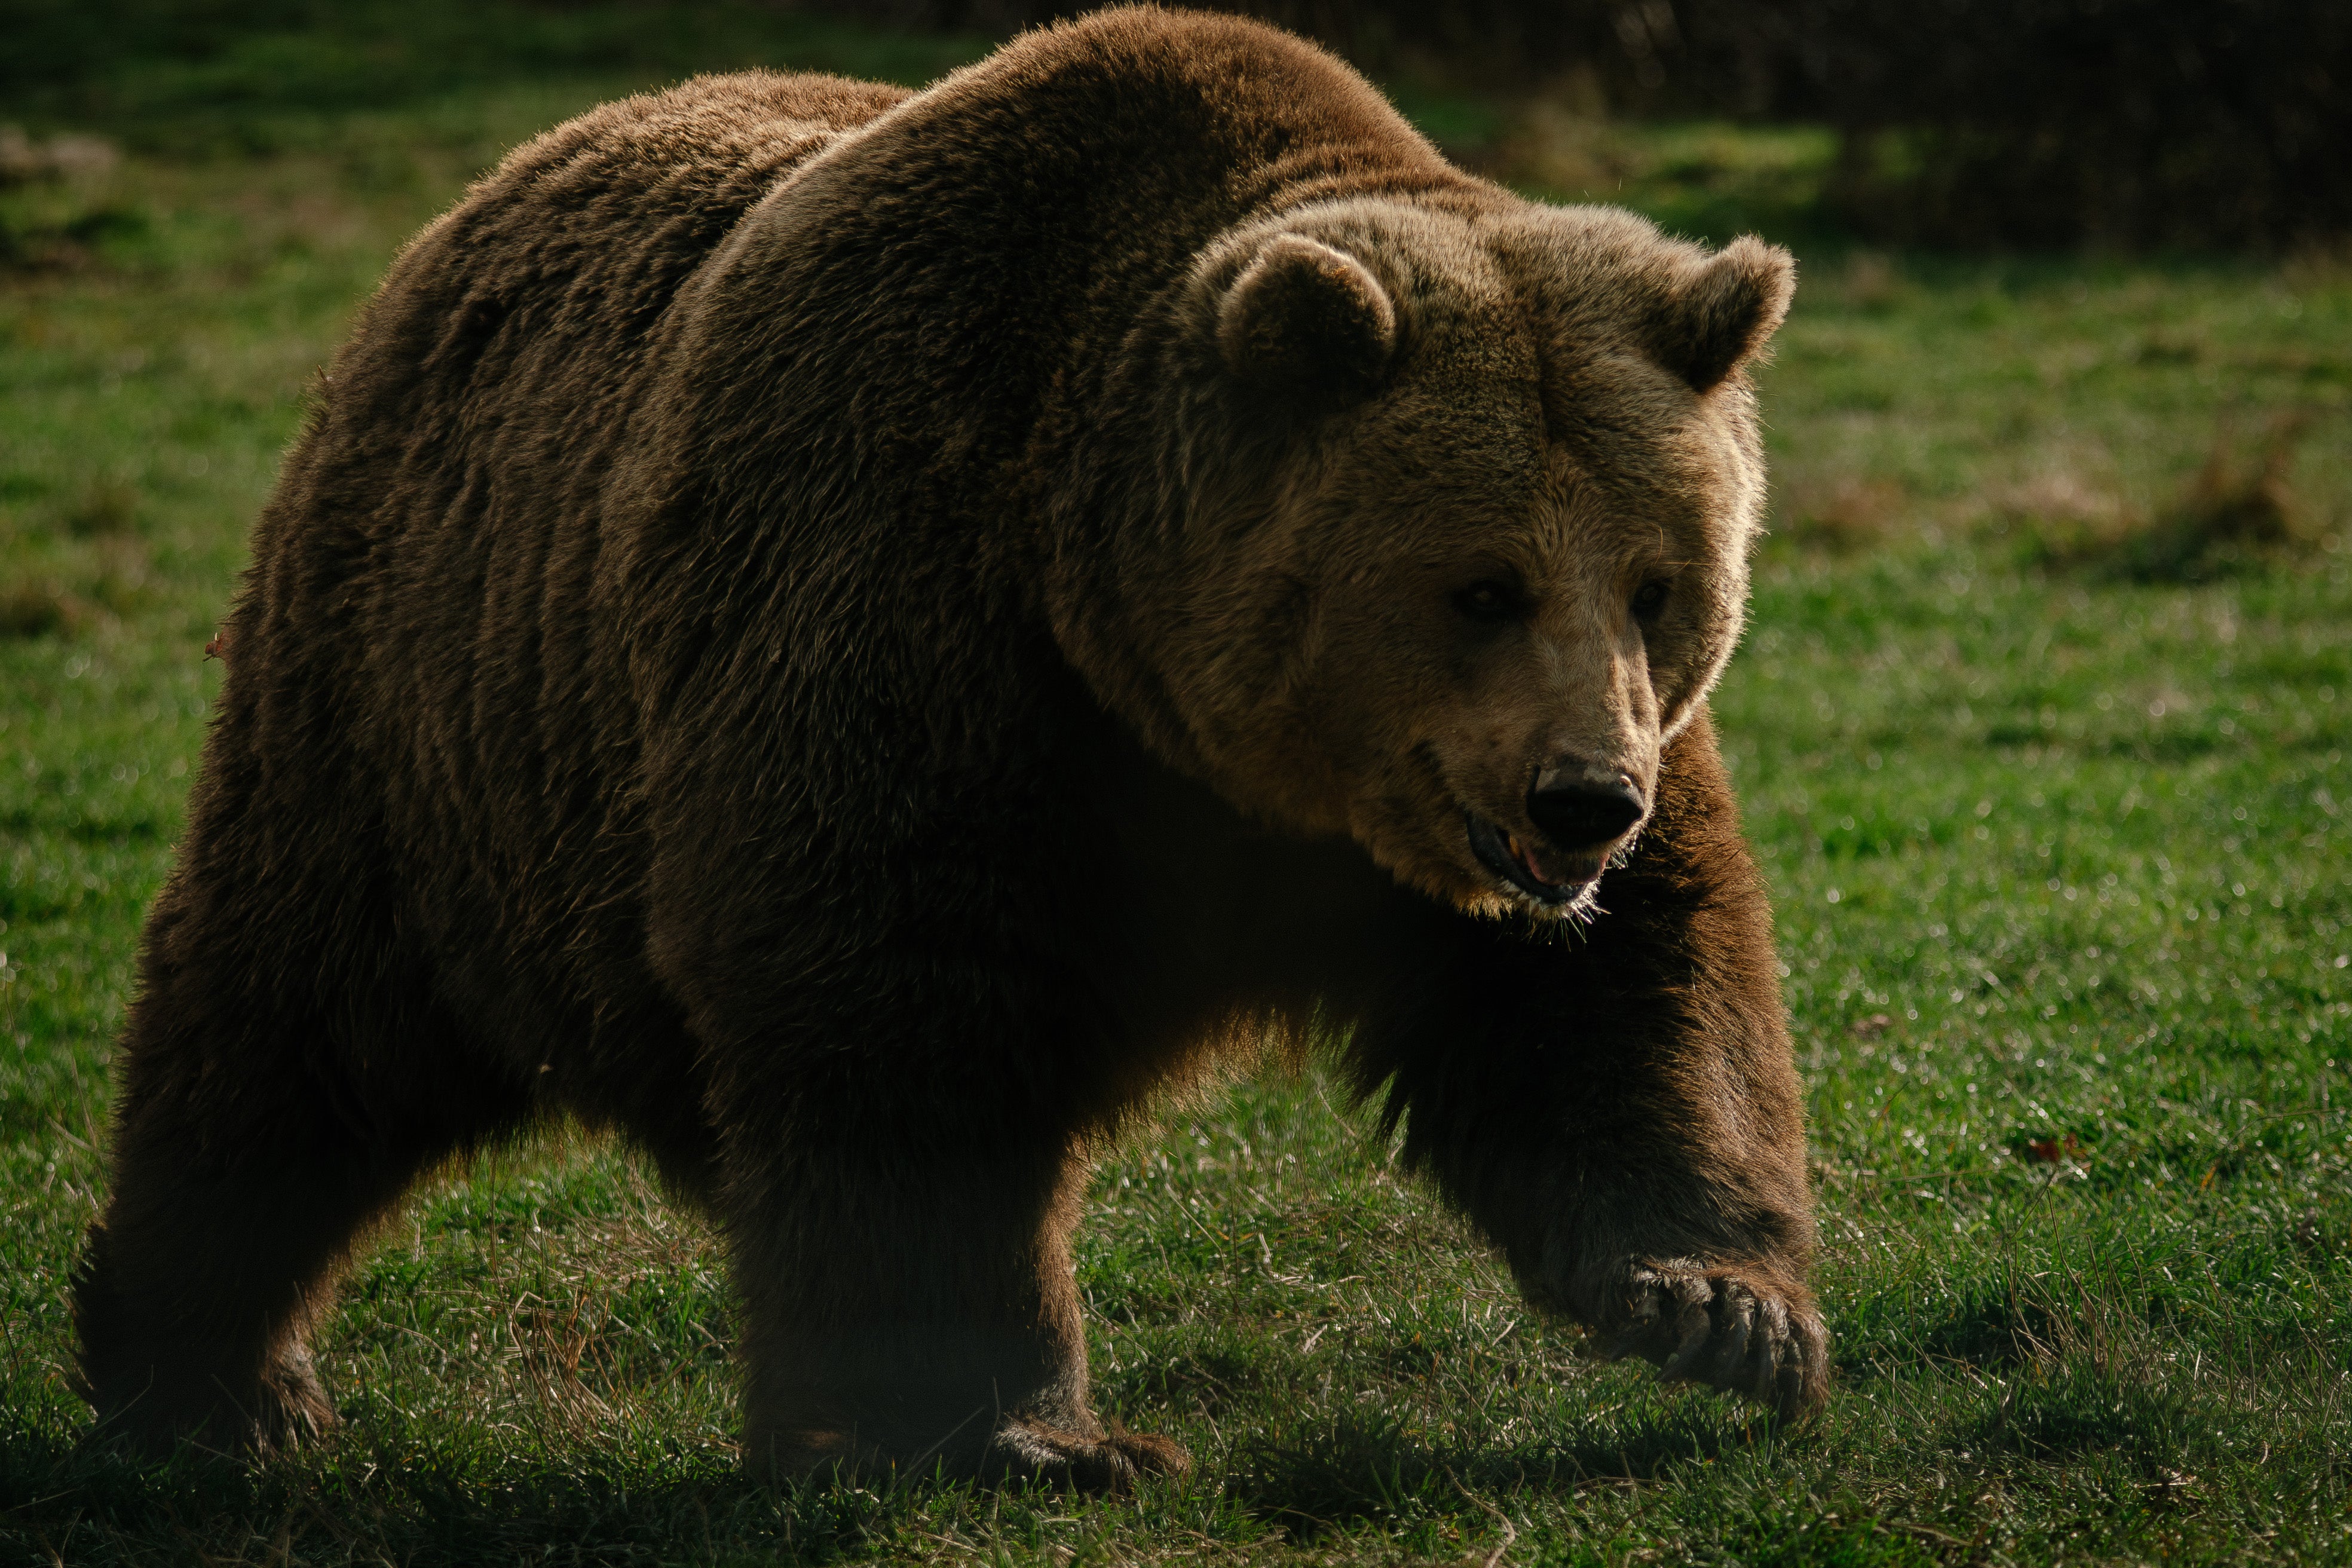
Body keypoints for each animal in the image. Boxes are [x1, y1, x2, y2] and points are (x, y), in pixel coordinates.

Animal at [73, 6, 1823, 1488]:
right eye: (1480, 585)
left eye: (1661, 583)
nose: (1580, 800)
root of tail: (475, 205)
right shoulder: (914, 617)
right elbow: (898, 1012)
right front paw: (1020, 1427)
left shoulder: (1445, 820)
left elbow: (1620, 988)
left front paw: (1717, 1306)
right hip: (426, 726)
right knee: (289, 1027)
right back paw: (212, 1381)